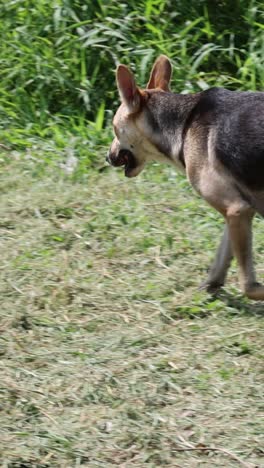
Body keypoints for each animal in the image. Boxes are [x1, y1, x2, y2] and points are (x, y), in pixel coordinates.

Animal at [106, 54, 264, 300]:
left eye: (114, 129)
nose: (107, 156)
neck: (182, 125)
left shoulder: (236, 209)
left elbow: (249, 286)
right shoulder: (239, 210)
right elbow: (222, 256)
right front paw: (210, 285)